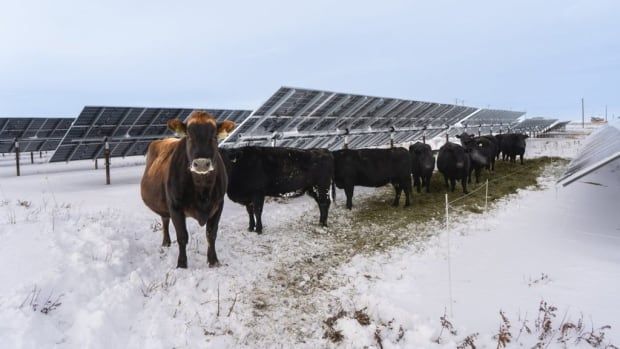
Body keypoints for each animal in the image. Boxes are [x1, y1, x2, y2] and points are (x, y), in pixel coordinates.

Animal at [140, 110, 235, 268]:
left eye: (214, 136)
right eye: (189, 136)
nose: (201, 163)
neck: (202, 189)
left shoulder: (218, 204)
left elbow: (211, 234)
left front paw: (213, 261)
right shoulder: (175, 206)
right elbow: (182, 236)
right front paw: (182, 264)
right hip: (165, 205)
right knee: (165, 221)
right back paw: (166, 242)